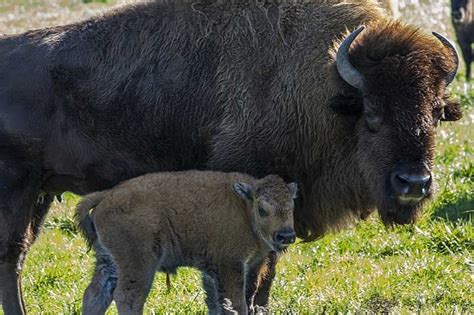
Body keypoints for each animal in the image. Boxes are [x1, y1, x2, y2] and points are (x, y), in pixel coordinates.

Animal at [75, 172, 294, 314]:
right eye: (262, 210)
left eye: (291, 208)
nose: (286, 235)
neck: (244, 208)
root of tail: (107, 195)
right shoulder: (230, 266)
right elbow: (236, 304)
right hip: (139, 265)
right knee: (127, 297)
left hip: (108, 261)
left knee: (95, 295)